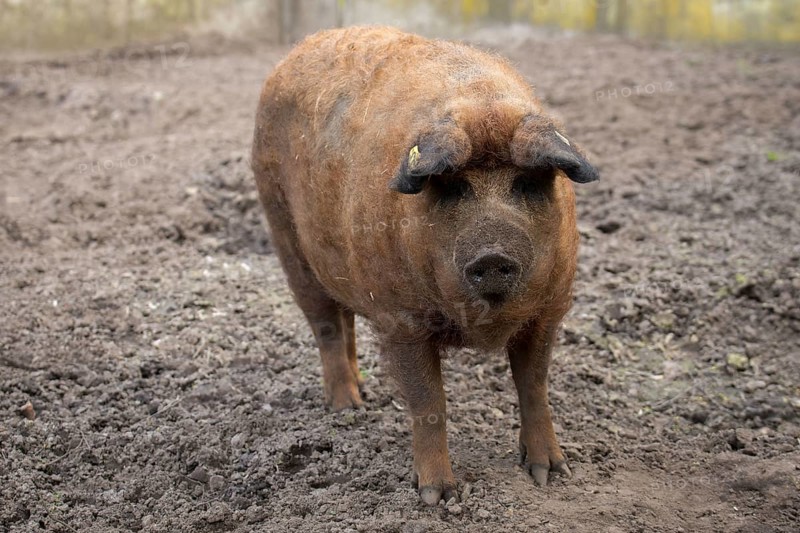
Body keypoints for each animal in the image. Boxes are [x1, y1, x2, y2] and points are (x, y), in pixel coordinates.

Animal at [251, 26, 598, 505]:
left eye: (526, 183)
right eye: (452, 187)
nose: (492, 254)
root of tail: (295, 51)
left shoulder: (550, 309)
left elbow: (533, 385)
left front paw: (551, 474)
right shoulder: (403, 321)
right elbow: (429, 403)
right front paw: (438, 497)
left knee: (346, 321)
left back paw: (363, 395)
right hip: (286, 238)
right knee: (325, 326)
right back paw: (346, 408)